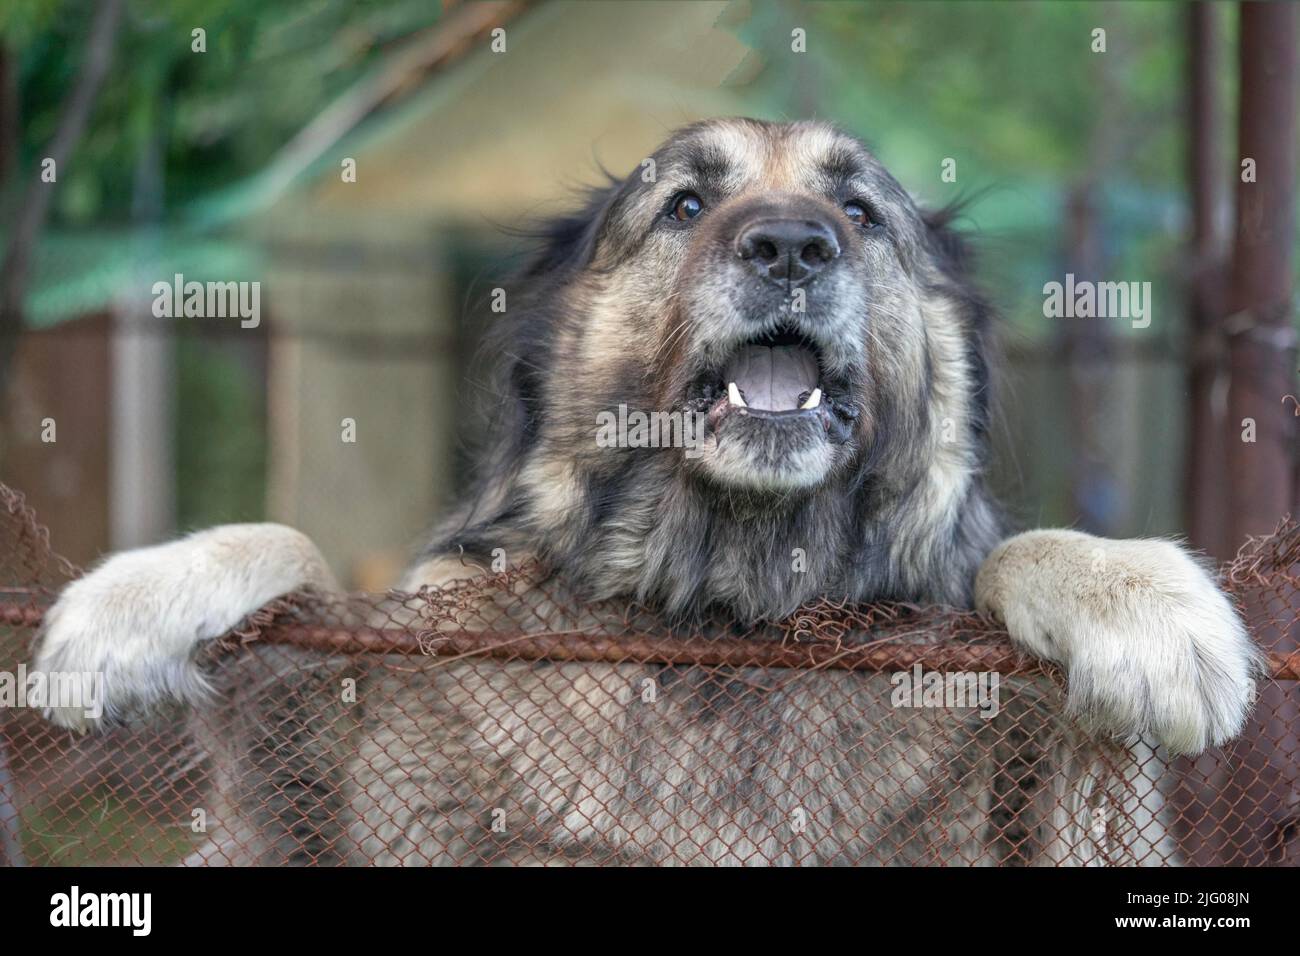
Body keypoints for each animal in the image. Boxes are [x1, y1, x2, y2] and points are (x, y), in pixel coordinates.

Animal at [30, 119, 1258, 868]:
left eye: (862, 214)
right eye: (682, 205)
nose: (791, 244)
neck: (718, 619)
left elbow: (1014, 557)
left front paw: (1146, 605)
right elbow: (302, 553)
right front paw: (128, 606)